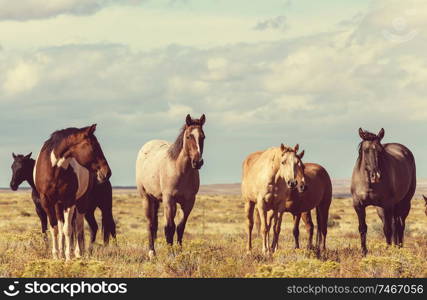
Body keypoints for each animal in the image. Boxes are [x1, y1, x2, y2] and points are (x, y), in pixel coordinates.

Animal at [34, 124, 111, 260]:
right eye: (94, 146)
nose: (107, 172)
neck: (54, 170)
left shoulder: (69, 201)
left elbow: (68, 229)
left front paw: (68, 257)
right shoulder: (47, 202)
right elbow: (55, 229)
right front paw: (56, 256)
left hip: (81, 203)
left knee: (79, 227)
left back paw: (78, 253)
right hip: (58, 205)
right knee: (63, 227)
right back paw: (62, 252)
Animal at [135, 113, 206, 256]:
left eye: (203, 137)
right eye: (188, 136)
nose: (198, 162)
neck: (180, 170)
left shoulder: (189, 202)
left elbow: (180, 227)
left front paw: (179, 252)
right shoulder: (169, 200)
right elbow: (169, 227)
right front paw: (171, 254)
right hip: (146, 198)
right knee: (150, 224)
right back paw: (152, 252)